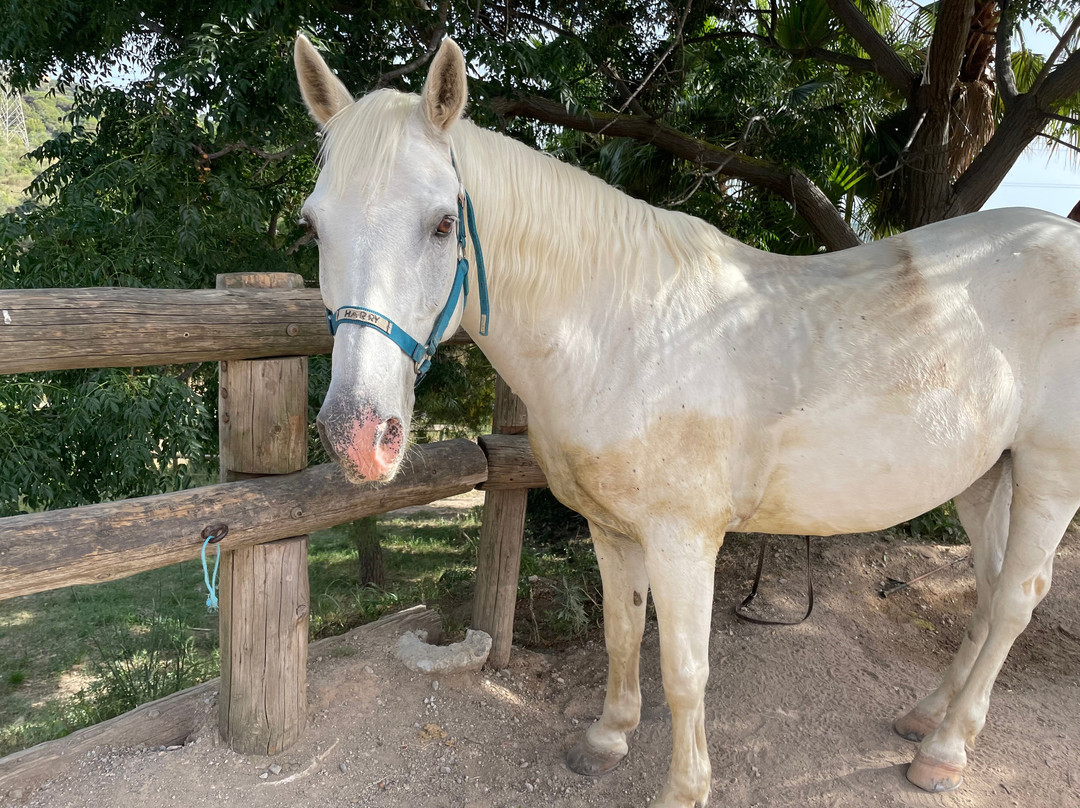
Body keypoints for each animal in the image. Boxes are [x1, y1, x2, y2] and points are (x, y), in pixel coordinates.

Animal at [293, 34, 1080, 807]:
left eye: (443, 223)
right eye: (314, 226)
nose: (359, 433)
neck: (624, 333)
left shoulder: (683, 541)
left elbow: (683, 671)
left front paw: (684, 789)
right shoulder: (612, 529)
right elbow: (620, 636)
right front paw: (607, 740)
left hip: (1048, 476)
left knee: (1016, 599)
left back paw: (944, 752)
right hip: (983, 475)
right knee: (988, 588)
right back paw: (927, 718)